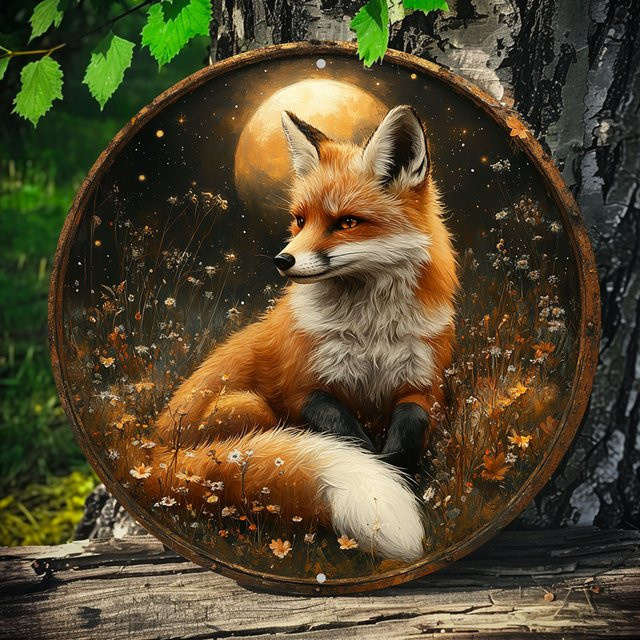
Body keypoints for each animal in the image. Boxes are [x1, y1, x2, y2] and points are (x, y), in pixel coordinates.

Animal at [139, 105, 459, 561]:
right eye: (300, 220)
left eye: (347, 222)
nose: (282, 260)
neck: (370, 333)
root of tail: (150, 455)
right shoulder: (299, 387)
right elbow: (345, 433)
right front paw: (383, 475)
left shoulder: (424, 385)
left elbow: (412, 422)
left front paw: (403, 472)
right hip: (248, 406)